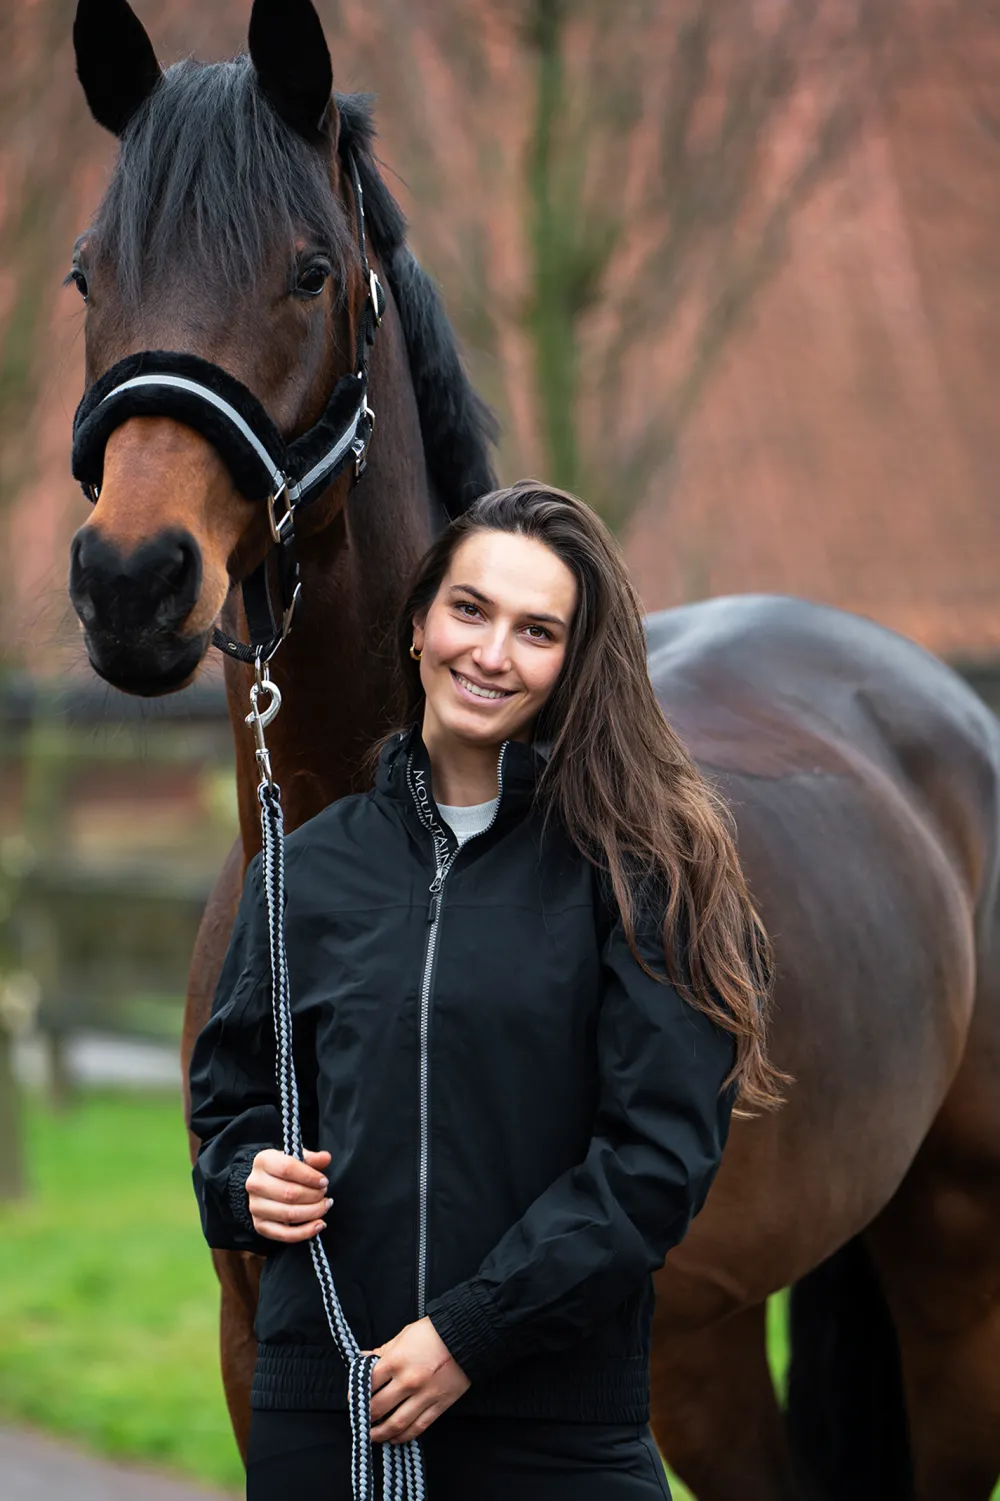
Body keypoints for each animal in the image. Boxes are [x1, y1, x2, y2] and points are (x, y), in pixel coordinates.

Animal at [66, 3, 1000, 1498]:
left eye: (308, 271)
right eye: (89, 274)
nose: (132, 583)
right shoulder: (256, 1347)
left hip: (948, 1282)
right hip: (714, 1345)